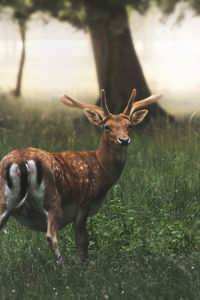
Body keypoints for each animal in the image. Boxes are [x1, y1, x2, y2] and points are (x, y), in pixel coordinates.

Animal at [0, 89, 161, 264]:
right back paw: (63, 267)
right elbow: (83, 241)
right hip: (52, 199)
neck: (101, 169)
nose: (124, 140)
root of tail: (21, 160)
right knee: (51, 236)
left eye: (129, 125)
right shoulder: (85, 201)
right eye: (107, 127)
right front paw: (82, 267)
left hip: (4, 199)